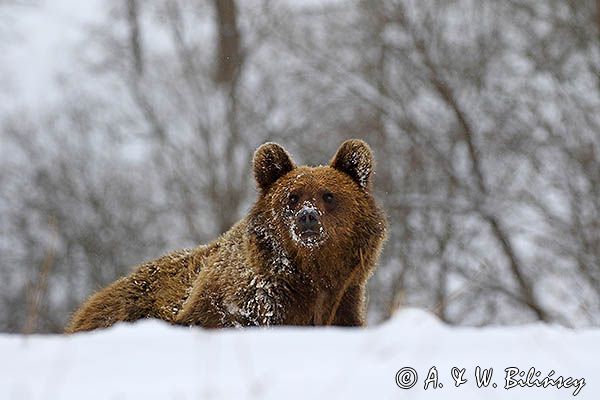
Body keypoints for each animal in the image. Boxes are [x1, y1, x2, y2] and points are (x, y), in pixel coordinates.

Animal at [64, 139, 384, 332]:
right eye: (292, 197)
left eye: (328, 195)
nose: (307, 217)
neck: (312, 276)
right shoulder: (248, 304)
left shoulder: (344, 299)